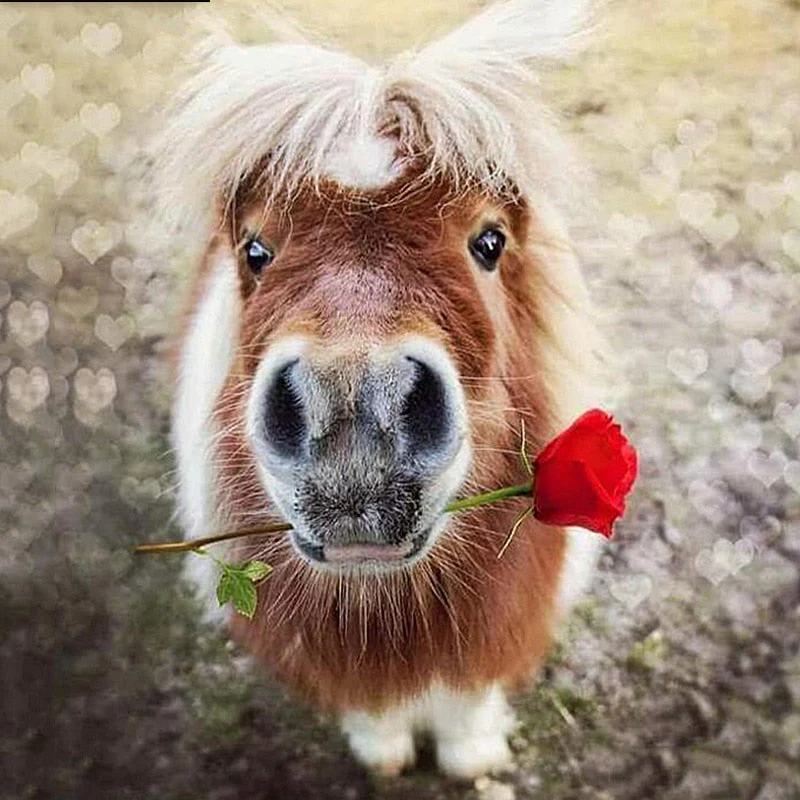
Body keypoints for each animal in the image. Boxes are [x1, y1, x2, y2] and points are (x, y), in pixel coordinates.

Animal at [160, 0, 604, 778]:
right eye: (255, 250)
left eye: (489, 242)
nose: (351, 413)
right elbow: (372, 706)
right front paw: (384, 753)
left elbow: (467, 702)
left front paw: (470, 756)